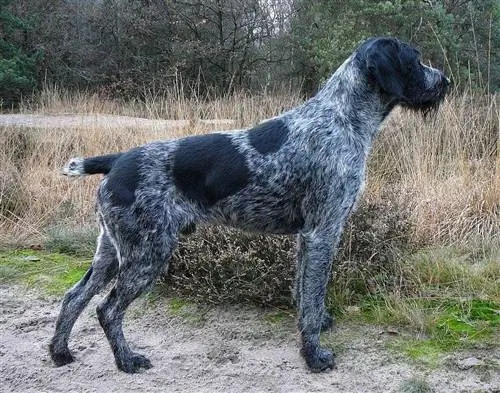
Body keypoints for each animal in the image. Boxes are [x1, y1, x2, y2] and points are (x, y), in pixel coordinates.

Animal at [49, 37, 450, 374]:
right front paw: (314, 355)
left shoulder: (307, 237)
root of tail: (117, 161)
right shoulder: (324, 231)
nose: (445, 80)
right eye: (414, 59)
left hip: (112, 252)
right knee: (107, 309)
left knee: (74, 297)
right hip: (147, 253)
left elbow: (305, 294)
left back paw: (60, 352)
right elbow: (312, 296)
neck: (342, 119)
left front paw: (318, 325)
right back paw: (127, 360)